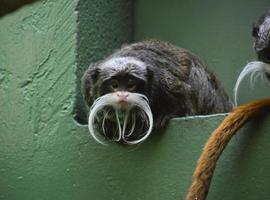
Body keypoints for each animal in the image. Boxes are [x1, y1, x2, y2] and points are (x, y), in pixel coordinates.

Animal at [81, 40, 232, 144]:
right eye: (114, 85)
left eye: (131, 85)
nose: (122, 95)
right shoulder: (87, 83)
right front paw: (105, 123)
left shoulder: (166, 83)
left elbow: (184, 98)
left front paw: (165, 115)